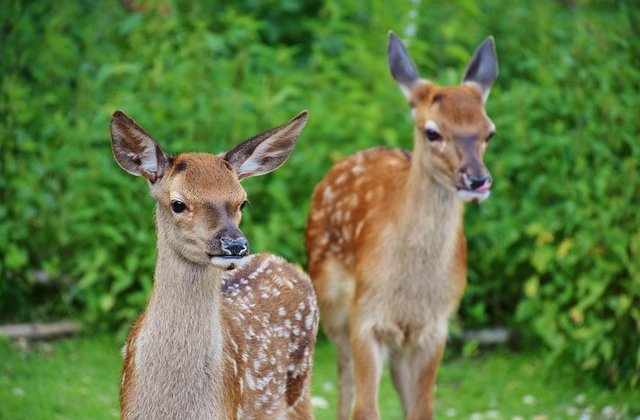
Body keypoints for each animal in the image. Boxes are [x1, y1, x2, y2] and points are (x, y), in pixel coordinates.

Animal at [112, 110, 320, 418]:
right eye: (178, 203)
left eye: (243, 202)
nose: (235, 245)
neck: (171, 408)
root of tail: (280, 260)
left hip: (300, 389)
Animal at [304, 33, 500, 420]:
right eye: (432, 132)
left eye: (489, 132)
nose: (477, 179)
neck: (411, 291)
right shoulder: (366, 317)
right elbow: (365, 408)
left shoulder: (435, 327)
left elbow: (422, 408)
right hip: (332, 303)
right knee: (344, 375)